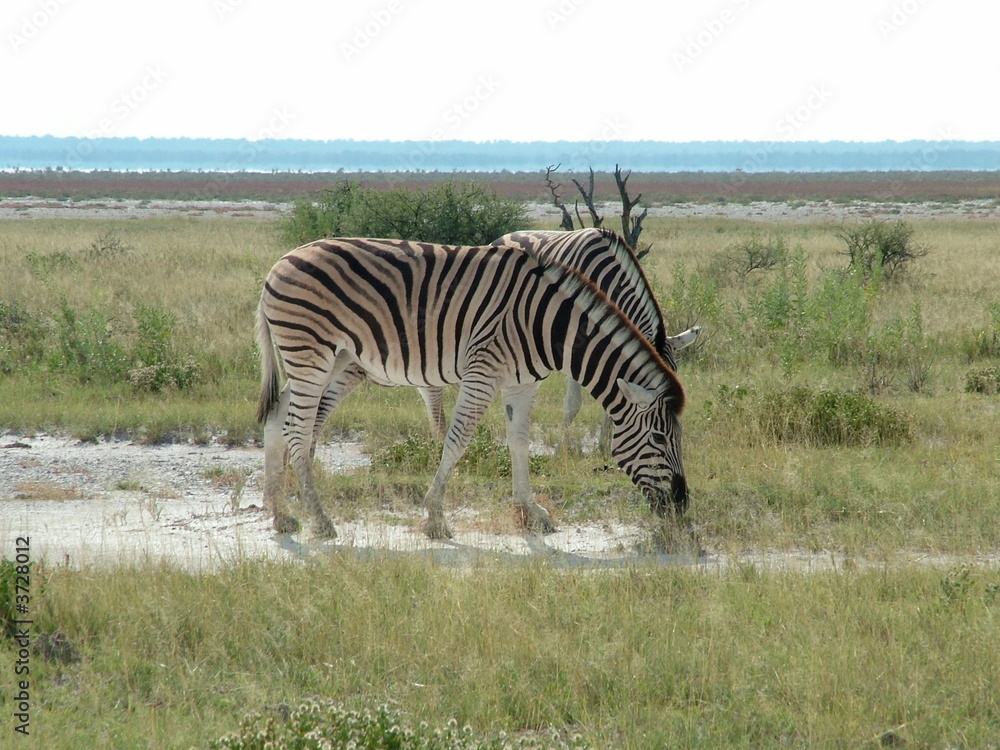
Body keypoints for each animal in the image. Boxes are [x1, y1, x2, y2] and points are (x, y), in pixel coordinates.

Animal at [257, 234, 688, 540]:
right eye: (660, 439)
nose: (682, 506)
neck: (549, 325)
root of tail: (278, 263)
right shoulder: (483, 371)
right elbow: (458, 439)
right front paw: (434, 518)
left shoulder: (521, 383)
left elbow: (519, 441)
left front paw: (530, 511)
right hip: (311, 353)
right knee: (297, 429)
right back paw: (319, 520)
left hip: (333, 358)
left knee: (277, 418)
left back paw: (282, 515)